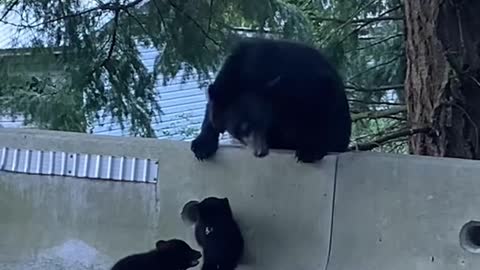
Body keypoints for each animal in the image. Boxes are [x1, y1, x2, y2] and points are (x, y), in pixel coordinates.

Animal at [191, 36, 352, 162]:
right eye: (241, 129)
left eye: (262, 122)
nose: (260, 152)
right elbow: (212, 107)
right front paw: (202, 145)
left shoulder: (300, 81)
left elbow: (321, 103)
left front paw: (311, 150)